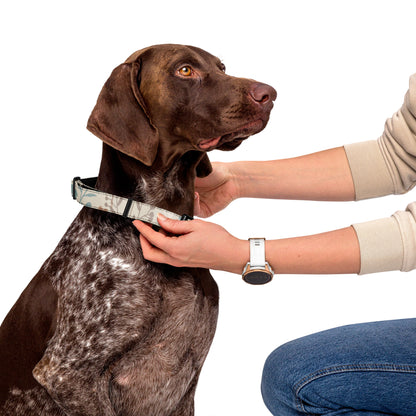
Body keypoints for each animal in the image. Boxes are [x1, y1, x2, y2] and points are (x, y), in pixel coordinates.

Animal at [0, 44, 276, 414]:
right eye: (185, 70)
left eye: (221, 67)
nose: (270, 94)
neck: (153, 214)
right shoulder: (66, 375)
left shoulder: (185, 390)